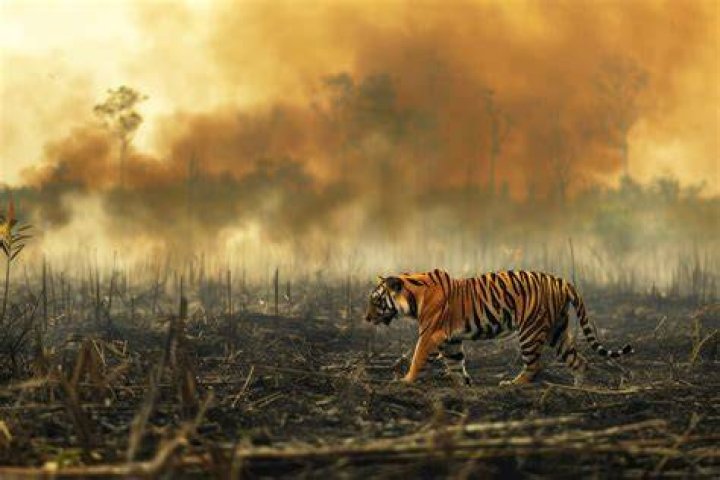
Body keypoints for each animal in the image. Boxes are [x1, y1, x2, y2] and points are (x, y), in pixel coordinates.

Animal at [365, 269, 633, 386]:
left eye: (376, 300)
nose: (366, 318)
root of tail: (561, 281)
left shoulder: (430, 333)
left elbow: (418, 357)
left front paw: (405, 380)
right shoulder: (451, 340)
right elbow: (455, 363)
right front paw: (463, 387)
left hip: (530, 330)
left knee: (535, 365)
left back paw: (513, 384)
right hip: (558, 331)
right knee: (579, 361)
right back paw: (579, 390)